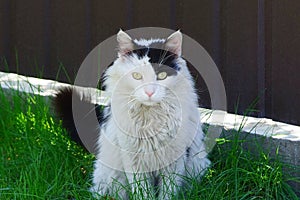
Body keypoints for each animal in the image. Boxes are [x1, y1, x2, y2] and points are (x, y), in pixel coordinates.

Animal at [55, 29, 211, 198]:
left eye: (161, 76)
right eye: (137, 76)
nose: (149, 92)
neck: (150, 120)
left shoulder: (175, 160)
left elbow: (168, 191)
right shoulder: (133, 159)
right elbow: (142, 191)